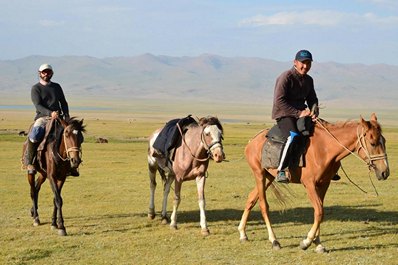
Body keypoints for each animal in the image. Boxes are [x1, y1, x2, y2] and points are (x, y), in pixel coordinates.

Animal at [238, 113, 390, 252]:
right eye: (373, 143)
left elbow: (320, 211)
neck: (325, 149)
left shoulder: (324, 184)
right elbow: (319, 211)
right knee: (263, 205)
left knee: (251, 198)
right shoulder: (310, 185)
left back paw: (243, 234)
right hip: (259, 174)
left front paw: (318, 243)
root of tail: (252, 141)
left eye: (384, 140)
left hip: (269, 177)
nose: (385, 172)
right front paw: (307, 242)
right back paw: (274, 240)